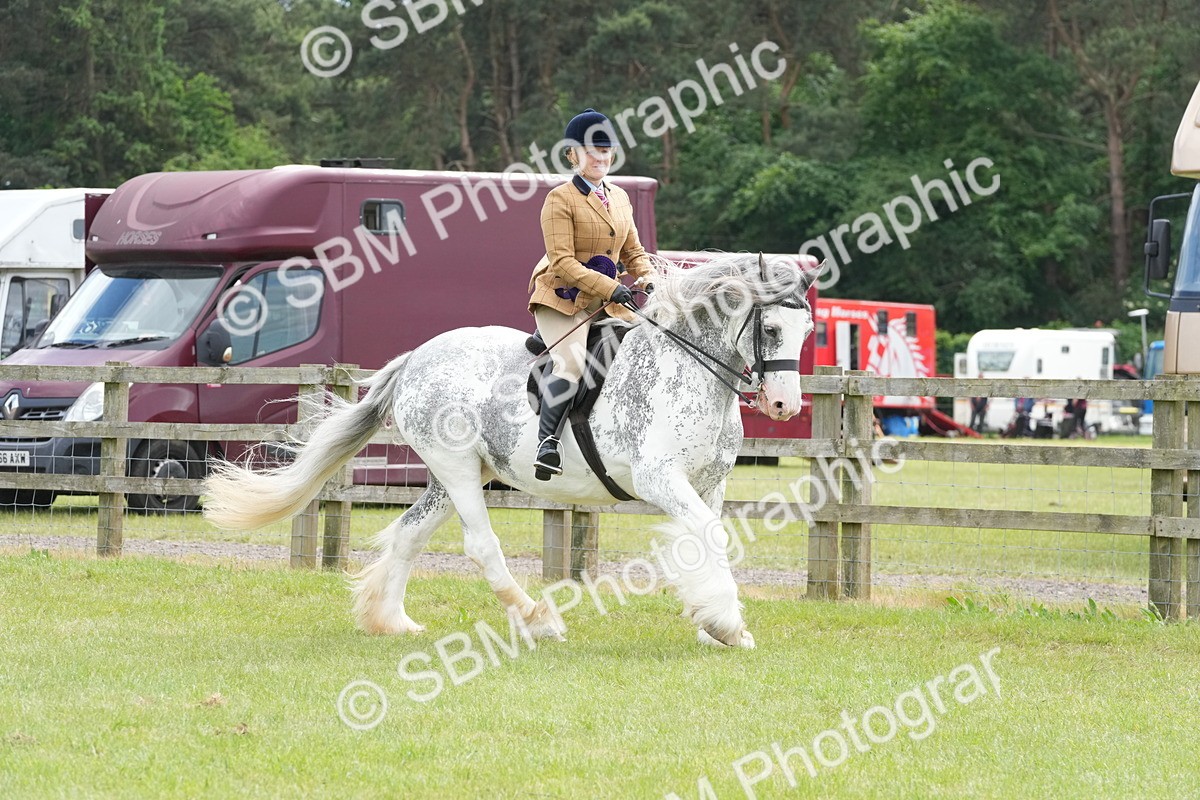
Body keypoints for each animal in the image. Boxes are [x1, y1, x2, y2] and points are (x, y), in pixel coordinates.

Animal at [202, 253, 817, 649]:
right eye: (771, 330)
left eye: (807, 331)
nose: (784, 405)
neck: (688, 368)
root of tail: (416, 358)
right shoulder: (660, 479)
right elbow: (708, 538)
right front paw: (726, 625)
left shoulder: (709, 483)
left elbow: (707, 542)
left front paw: (715, 624)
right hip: (457, 470)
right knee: (482, 547)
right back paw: (538, 619)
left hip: (453, 476)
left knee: (409, 534)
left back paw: (393, 621)